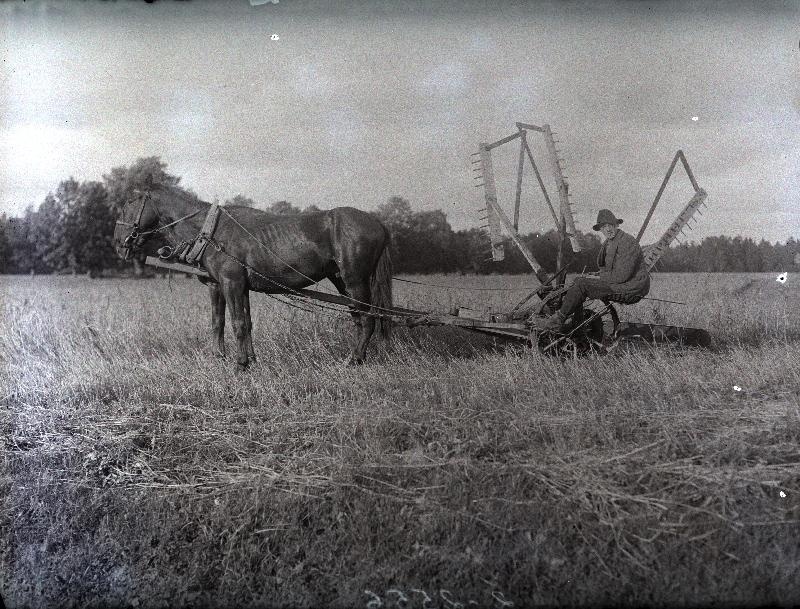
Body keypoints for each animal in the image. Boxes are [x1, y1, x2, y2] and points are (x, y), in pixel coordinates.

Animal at [112, 184, 394, 366]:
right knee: (359, 318)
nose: (117, 243)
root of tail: (379, 223)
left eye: (128, 206)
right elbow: (227, 323)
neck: (210, 232)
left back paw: (354, 359)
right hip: (342, 281)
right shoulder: (224, 286)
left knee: (368, 318)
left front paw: (240, 364)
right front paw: (232, 360)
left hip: (355, 280)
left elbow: (237, 323)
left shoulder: (232, 283)